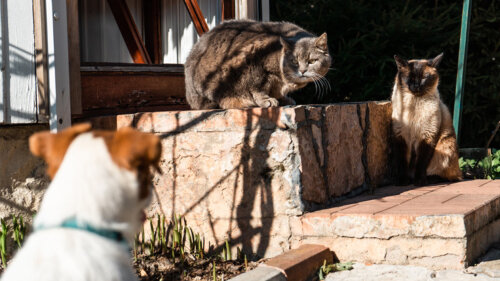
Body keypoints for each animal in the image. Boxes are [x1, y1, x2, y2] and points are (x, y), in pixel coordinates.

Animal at [184, 19, 332, 109]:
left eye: (312, 61)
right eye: (295, 61)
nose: (302, 71)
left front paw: (283, 99)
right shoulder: (253, 62)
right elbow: (257, 87)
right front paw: (266, 100)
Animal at [390, 52, 460, 185]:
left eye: (424, 78)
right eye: (410, 78)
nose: (417, 86)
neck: (415, 104)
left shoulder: (427, 137)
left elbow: (421, 163)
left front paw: (419, 182)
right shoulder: (401, 136)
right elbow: (402, 163)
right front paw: (402, 181)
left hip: (445, 148)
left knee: (450, 177)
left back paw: (428, 179)